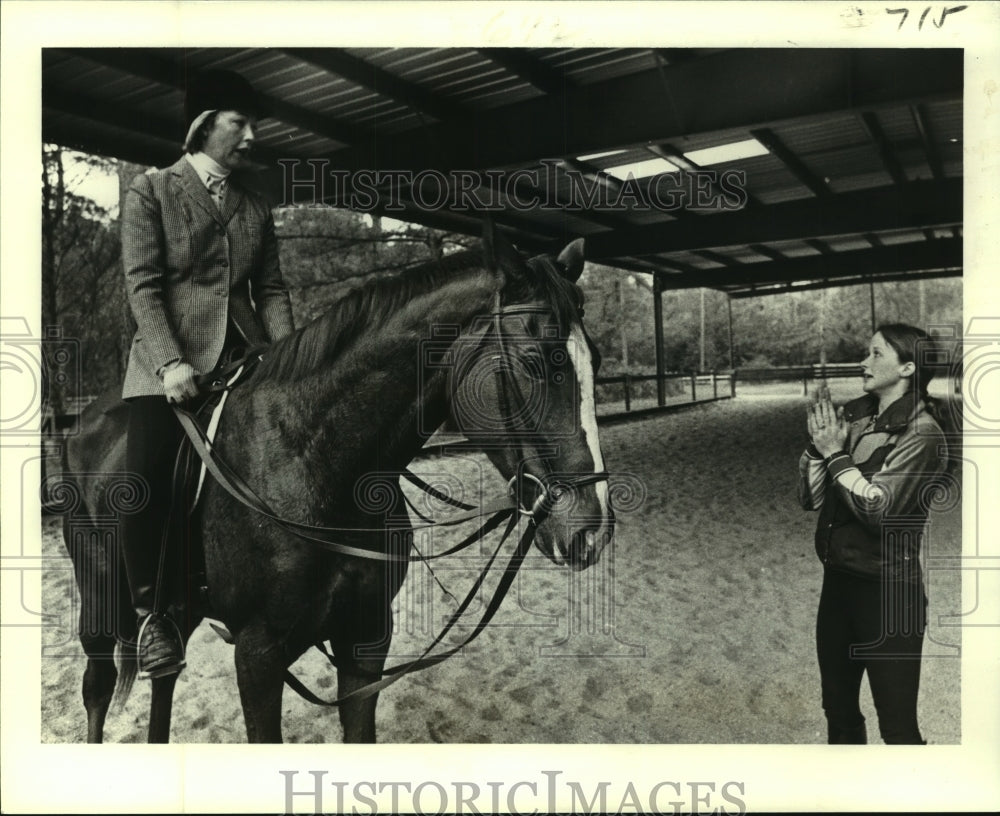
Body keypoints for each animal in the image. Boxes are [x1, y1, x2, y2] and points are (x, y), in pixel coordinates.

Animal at [60, 222, 616, 740]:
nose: (592, 530)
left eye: (596, 360)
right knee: (97, 688)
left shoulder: (365, 638)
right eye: (535, 362)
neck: (318, 464)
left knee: (164, 682)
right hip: (100, 601)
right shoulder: (257, 655)